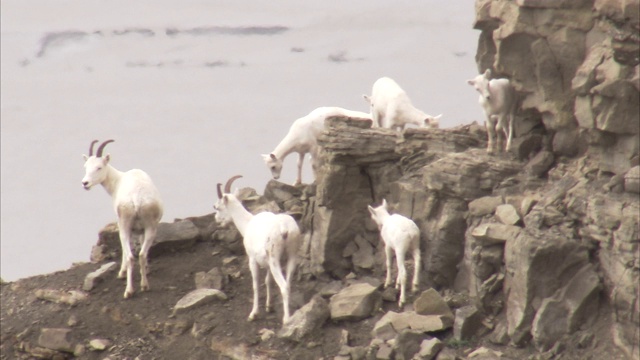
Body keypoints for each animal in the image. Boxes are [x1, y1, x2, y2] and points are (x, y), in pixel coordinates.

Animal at [80, 139, 164, 300]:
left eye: (99, 167)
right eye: (86, 167)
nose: (85, 183)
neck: (118, 180)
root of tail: (137, 199)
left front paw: (122, 273)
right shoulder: (141, 230)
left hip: (124, 227)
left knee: (131, 256)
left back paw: (129, 291)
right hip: (151, 228)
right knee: (142, 254)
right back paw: (144, 286)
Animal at [211, 174, 298, 324]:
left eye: (217, 207)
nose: (217, 220)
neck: (247, 224)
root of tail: (284, 228)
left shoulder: (252, 260)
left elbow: (255, 285)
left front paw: (253, 314)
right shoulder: (267, 264)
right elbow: (268, 281)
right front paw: (269, 307)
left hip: (275, 260)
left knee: (284, 286)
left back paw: (286, 320)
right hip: (291, 256)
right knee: (288, 283)